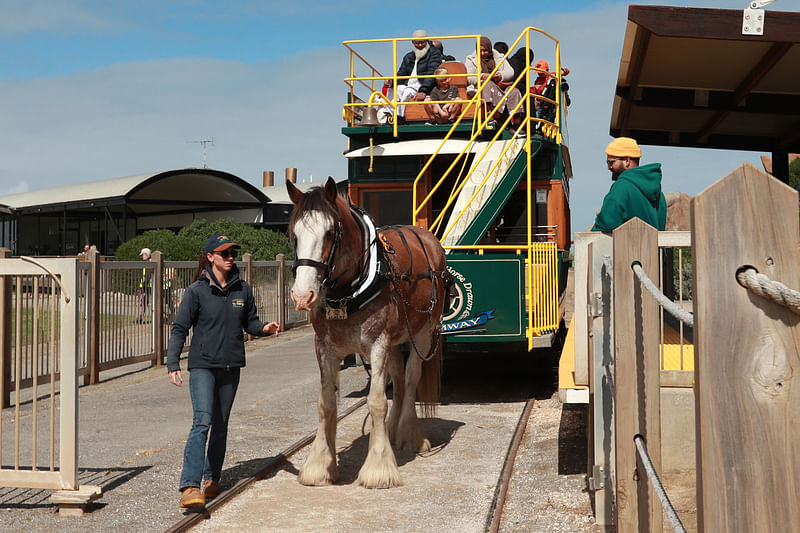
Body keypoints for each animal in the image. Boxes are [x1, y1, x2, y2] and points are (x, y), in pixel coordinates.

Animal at [288, 178, 450, 486]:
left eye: (330, 233)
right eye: (294, 234)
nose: (303, 296)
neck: (348, 291)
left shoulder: (378, 344)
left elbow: (376, 401)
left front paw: (379, 467)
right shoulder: (325, 347)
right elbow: (326, 404)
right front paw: (320, 465)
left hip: (423, 331)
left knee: (410, 377)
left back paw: (410, 435)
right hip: (396, 339)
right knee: (397, 377)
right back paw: (392, 430)